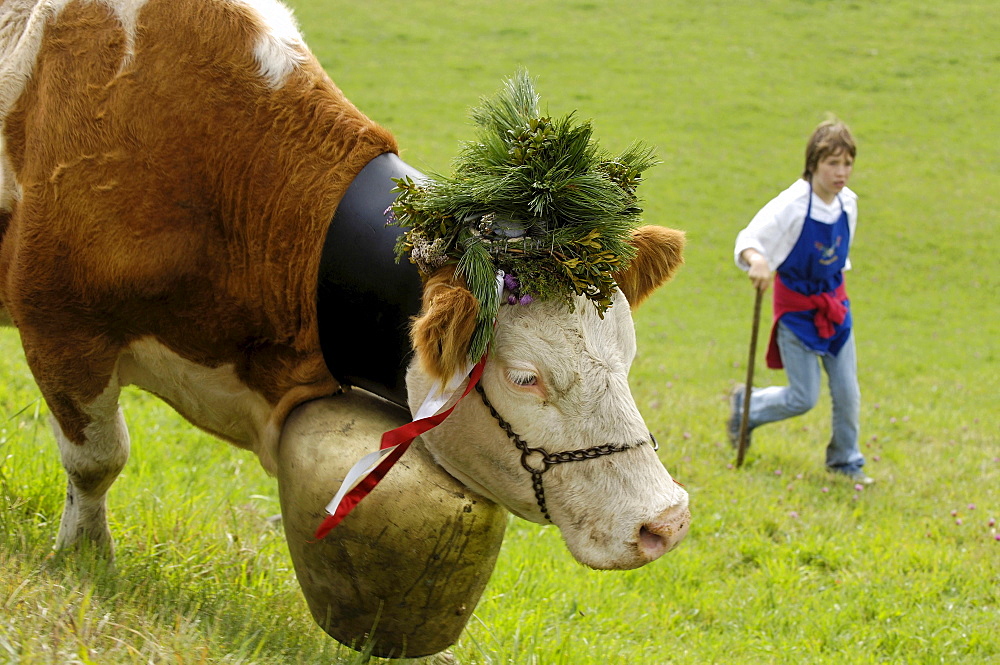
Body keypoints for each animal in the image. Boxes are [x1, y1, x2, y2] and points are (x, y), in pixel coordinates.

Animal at [0, 0, 688, 572]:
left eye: (628, 353)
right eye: (524, 378)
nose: (667, 519)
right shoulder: (58, 321)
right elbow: (98, 460)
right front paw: (86, 560)